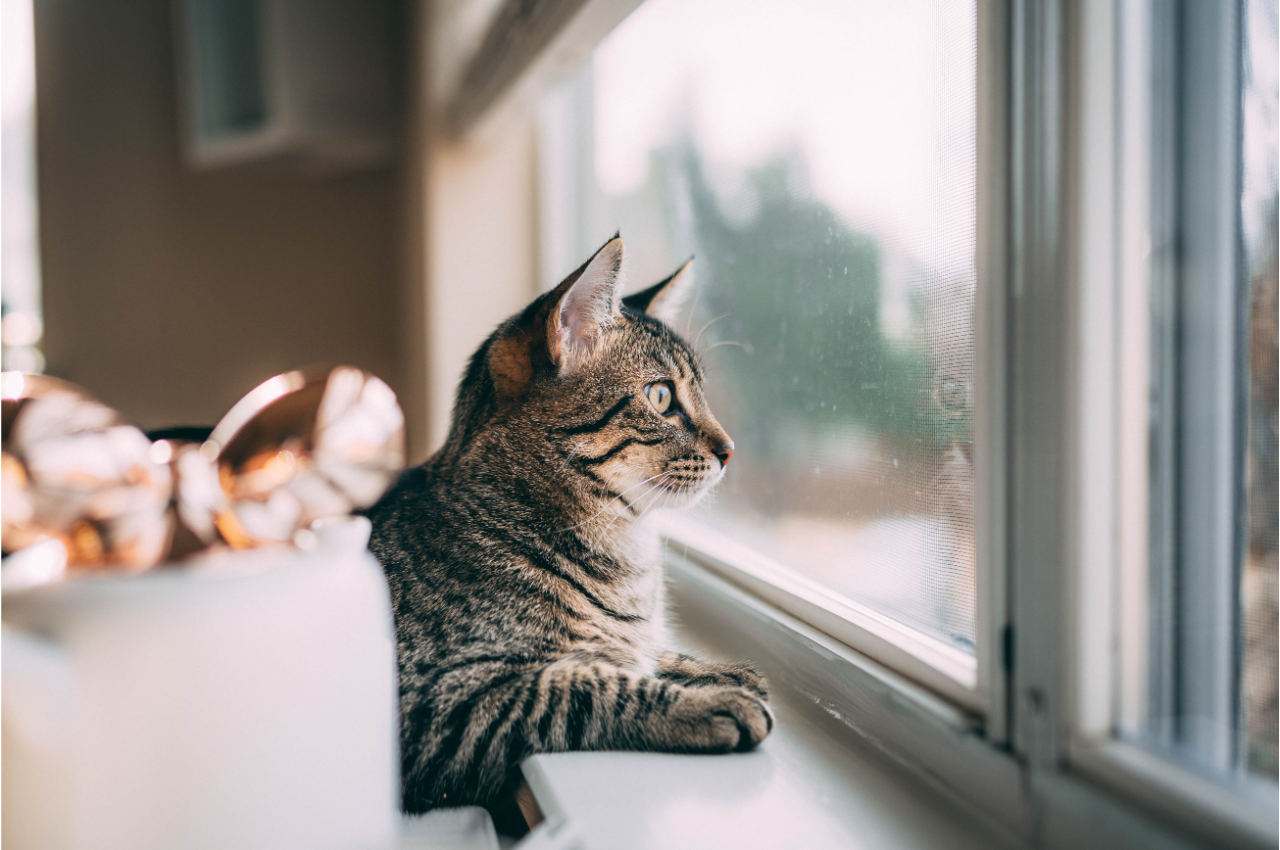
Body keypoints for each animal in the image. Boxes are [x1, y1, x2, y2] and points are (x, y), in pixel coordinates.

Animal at [366, 236, 773, 819]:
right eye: (661, 397)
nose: (730, 450)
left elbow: (641, 654)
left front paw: (707, 668)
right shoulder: (433, 707)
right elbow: (585, 687)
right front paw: (708, 701)